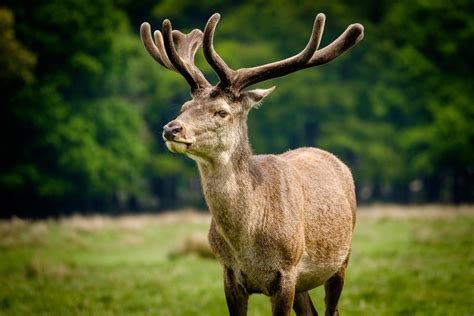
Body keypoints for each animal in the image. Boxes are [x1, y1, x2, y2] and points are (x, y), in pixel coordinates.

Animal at [140, 11, 362, 314]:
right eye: (185, 107)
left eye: (221, 112)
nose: (171, 129)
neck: (248, 245)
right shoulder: (229, 274)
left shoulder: (286, 271)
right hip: (304, 282)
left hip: (340, 259)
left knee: (333, 307)